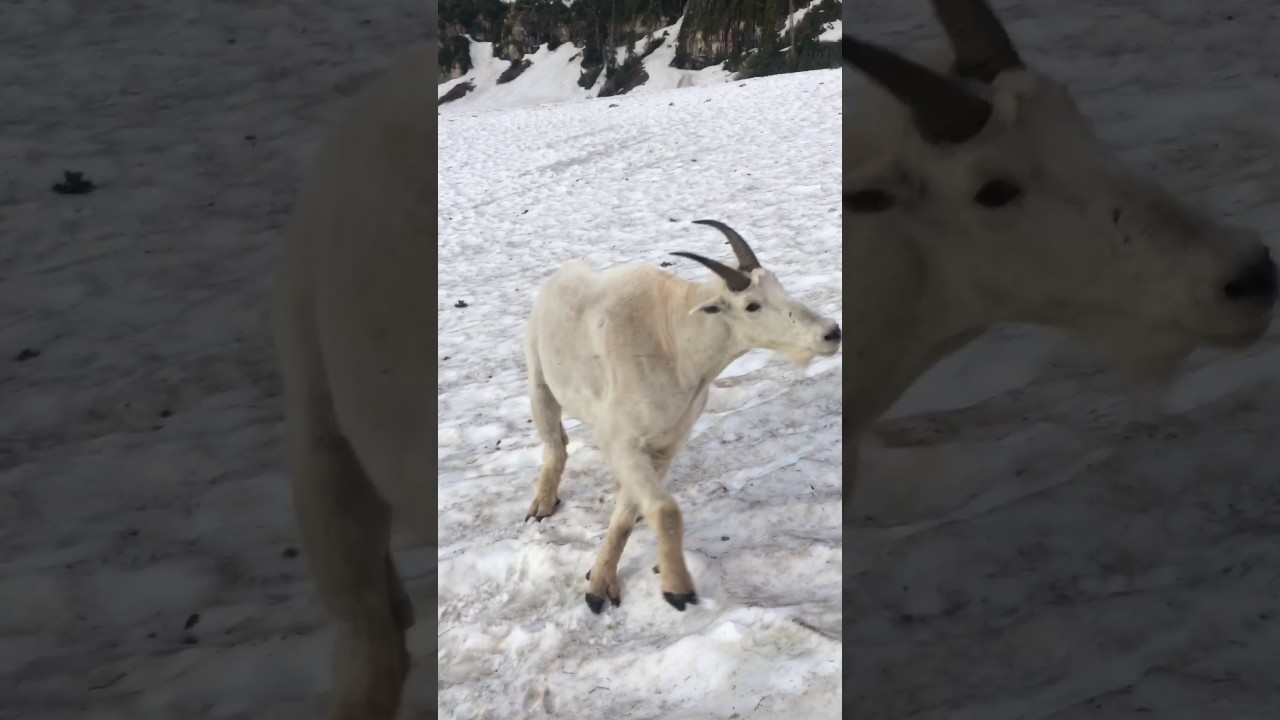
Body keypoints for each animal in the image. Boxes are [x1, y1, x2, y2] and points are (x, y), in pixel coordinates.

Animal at [523, 220, 841, 612]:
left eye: (778, 286)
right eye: (751, 305)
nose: (831, 333)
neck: (673, 343)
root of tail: (559, 277)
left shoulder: (666, 444)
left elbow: (629, 515)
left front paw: (605, 575)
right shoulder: (621, 440)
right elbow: (667, 511)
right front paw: (672, 588)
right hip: (539, 380)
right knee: (556, 443)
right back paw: (542, 504)